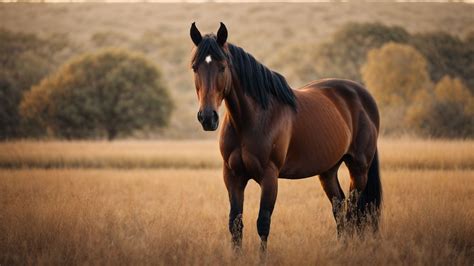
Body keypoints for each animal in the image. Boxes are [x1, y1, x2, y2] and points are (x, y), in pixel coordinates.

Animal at [188, 22, 382, 251]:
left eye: (222, 67)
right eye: (195, 67)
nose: (207, 118)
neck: (252, 119)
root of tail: (363, 95)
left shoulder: (269, 177)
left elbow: (263, 223)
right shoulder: (233, 176)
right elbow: (235, 224)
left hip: (358, 169)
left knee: (354, 213)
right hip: (328, 171)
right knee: (340, 209)